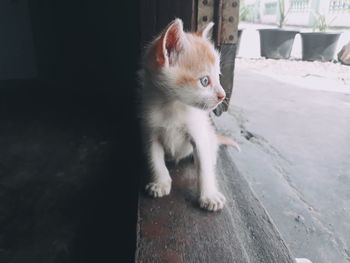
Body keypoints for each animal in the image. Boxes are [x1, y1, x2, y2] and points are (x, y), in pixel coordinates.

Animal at [138, 18, 239, 212]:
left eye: (218, 76)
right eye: (205, 81)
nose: (223, 95)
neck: (172, 106)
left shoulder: (199, 135)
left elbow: (204, 168)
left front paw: (209, 196)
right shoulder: (150, 132)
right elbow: (155, 160)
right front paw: (160, 182)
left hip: (208, 134)